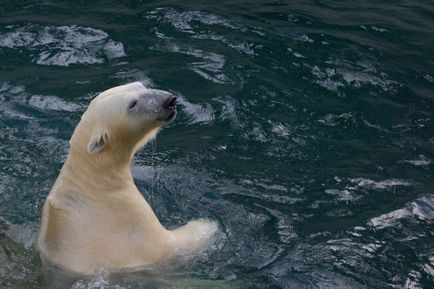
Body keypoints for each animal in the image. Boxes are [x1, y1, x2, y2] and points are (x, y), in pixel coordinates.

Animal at [36, 81, 219, 274]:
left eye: (141, 85)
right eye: (132, 104)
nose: (170, 100)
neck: (94, 181)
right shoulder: (129, 222)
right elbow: (172, 244)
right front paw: (208, 225)